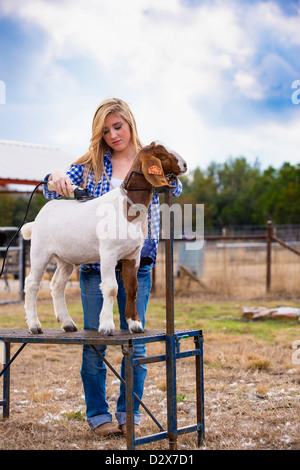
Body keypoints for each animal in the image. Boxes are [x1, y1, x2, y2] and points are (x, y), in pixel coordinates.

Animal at [21, 141, 186, 336]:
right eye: (164, 156)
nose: (185, 165)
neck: (127, 209)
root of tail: (38, 218)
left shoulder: (133, 255)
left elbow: (132, 287)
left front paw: (135, 324)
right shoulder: (108, 253)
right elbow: (111, 288)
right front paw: (106, 326)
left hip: (65, 258)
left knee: (57, 285)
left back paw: (67, 323)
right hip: (40, 252)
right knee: (32, 284)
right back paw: (34, 325)